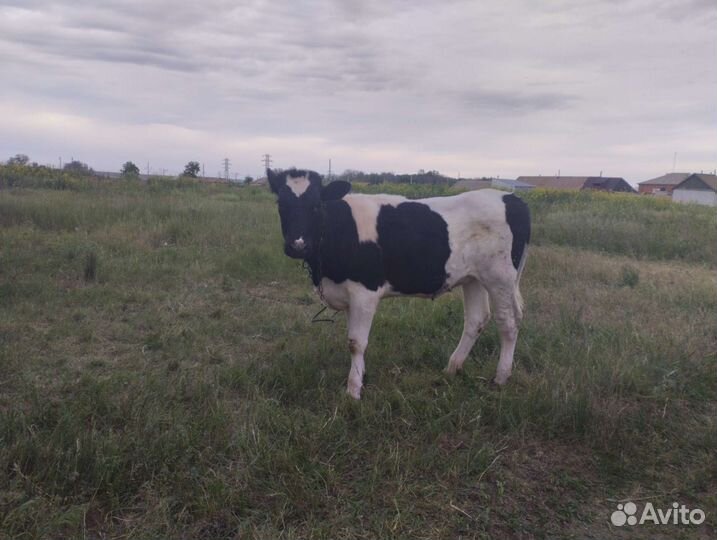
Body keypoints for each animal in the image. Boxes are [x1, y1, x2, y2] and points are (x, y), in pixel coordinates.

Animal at [268, 168, 530, 399]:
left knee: (508, 322)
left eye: (316, 205)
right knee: (476, 319)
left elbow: (356, 343)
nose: (298, 245)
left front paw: (353, 391)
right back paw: (452, 368)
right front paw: (361, 376)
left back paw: (500, 377)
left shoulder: (365, 291)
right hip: (473, 278)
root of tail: (510, 197)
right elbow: (352, 339)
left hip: (500, 278)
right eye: (281, 205)